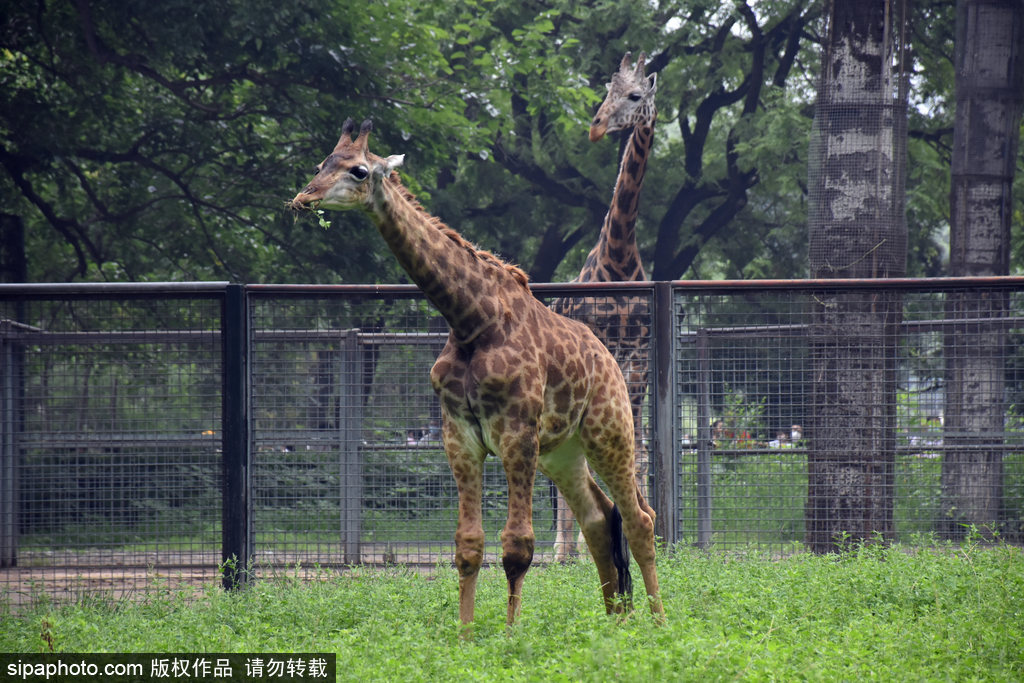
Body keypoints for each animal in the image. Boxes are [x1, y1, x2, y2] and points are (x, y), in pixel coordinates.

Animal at [292, 117, 667, 630]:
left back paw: (659, 623)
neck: (471, 320)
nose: (302, 198)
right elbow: (469, 546)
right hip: (562, 450)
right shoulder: (460, 435)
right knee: (597, 518)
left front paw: (510, 636)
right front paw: (466, 635)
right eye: (319, 165)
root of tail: (605, 356)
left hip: (609, 430)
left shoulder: (515, 433)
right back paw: (616, 622)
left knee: (639, 518)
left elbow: (517, 546)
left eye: (359, 171)